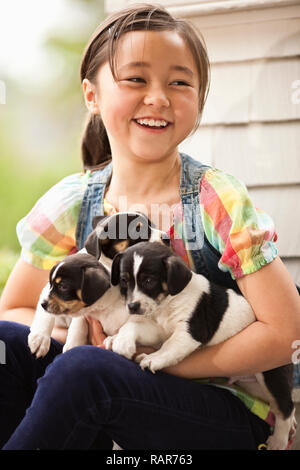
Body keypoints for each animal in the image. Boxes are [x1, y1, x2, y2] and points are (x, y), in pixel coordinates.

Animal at [28, 211, 169, 358]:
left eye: (153, 225)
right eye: (138, 230)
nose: (167, 238)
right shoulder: (50, 291)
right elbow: (51, 315)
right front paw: (39, 338)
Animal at [106, 241, 296, 450]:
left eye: (149, 281)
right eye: (124, 281)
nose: (132, 306)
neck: (167, 303)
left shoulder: (189, 332)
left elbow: (170, 346)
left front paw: (153, 358)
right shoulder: (156, 331)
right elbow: (132, 325)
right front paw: (119, 340)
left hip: (270, 374)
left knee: (286, 407)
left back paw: (278, 441)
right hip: (253, 385)